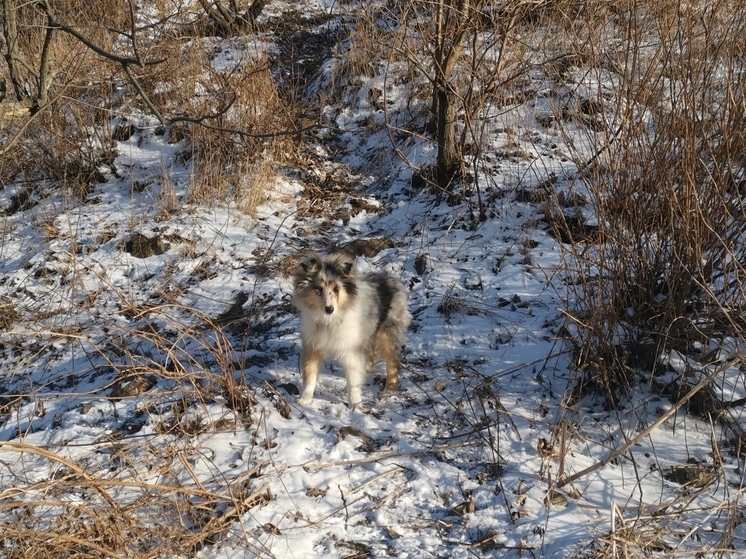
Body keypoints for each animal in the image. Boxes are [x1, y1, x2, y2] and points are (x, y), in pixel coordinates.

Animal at [290, 252, 410, 410]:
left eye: (336, 289)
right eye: (318, 289)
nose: (329, 309)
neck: (329, 321)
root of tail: (391, 279)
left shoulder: (350, 351)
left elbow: (353, 382)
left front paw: (357, 406)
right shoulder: (312, 346)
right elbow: (309, 375)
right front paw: (305, 400)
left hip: (388, 332)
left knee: (392, 362)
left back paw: (389, 390)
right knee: (373, 352)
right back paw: (366, 369)